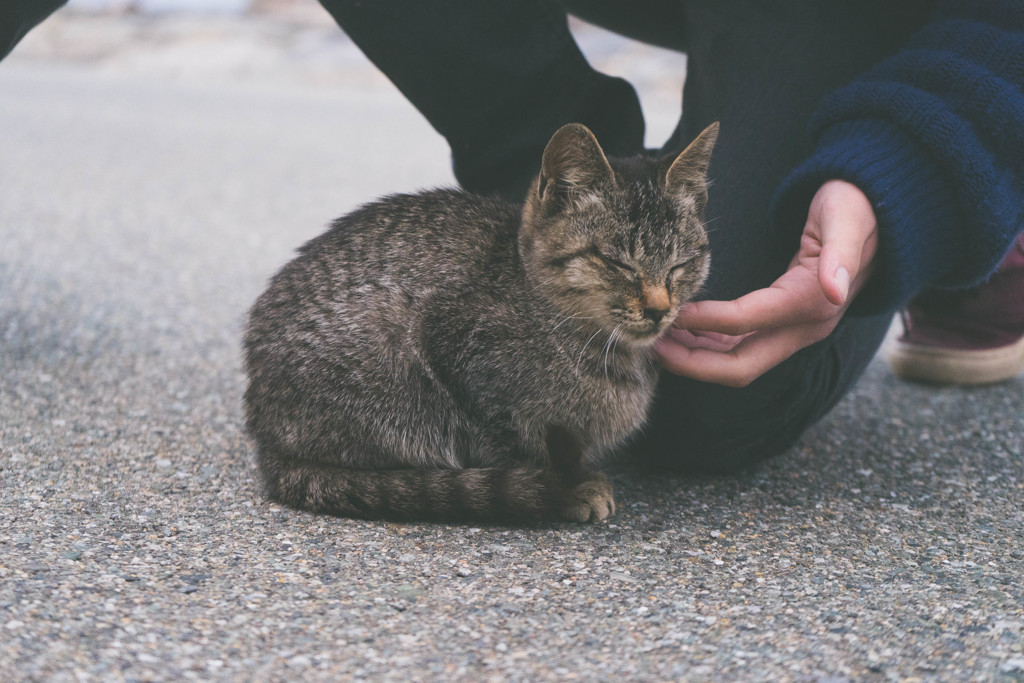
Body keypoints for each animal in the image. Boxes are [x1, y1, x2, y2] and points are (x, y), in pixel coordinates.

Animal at [242, 122, 716, 524]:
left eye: (680, 264)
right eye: (617, 262)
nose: (659, 309)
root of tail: (268, 442)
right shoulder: (462, 356)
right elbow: (520, 444)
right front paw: (568, 487)